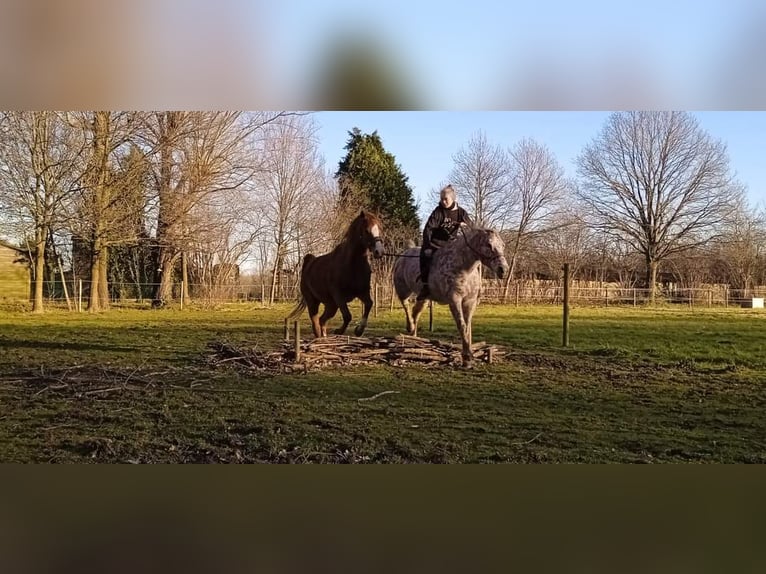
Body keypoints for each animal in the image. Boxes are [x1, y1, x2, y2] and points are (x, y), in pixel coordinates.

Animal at [286, 210, 388, 338]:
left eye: (380, 228)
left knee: (322, 320)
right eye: (366, 230)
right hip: (313, 302)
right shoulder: (339, 296)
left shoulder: (362, 293)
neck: (352, 264)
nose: (379, 252)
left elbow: (369, 304)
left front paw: (359, 330)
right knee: (316, 322)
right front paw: (339, 331)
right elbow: (347, 316)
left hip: (331, 305)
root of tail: (309, 263)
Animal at [396, 226, 510, 368]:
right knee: (405, 304)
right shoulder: (455, 300)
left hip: (424, 298)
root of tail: (405, 253)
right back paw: (410, 327)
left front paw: (468, 354)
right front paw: (467, 358)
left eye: (503, 245)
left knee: (415, 312)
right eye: (488, 244)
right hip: (403, 289)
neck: (464, 268)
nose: (503, 270)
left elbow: (467, 327)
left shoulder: (470, 302)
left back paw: (414, 336)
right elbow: (462, 325)